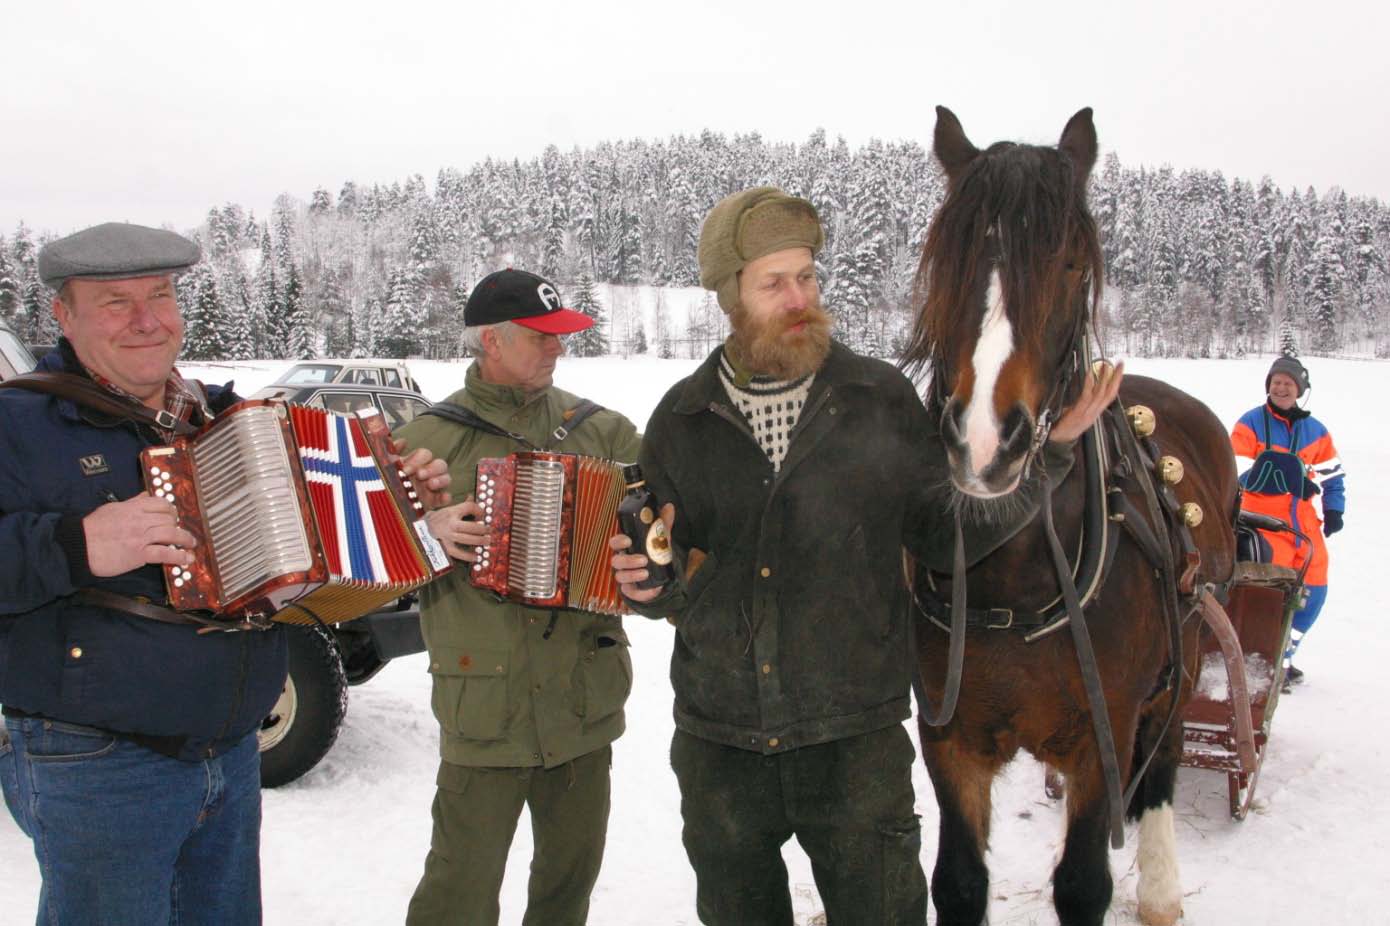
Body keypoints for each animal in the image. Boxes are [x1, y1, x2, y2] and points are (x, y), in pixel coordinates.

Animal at [900, 108, 1239, 923]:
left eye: (1072, 264)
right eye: (949, 256)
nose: (986, 442)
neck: (1017, 577)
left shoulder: (1101, 735)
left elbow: (1084, 882)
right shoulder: (949, 736)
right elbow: (959, 880)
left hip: (1185, 656)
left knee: (1164, 758)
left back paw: (1161, 886)